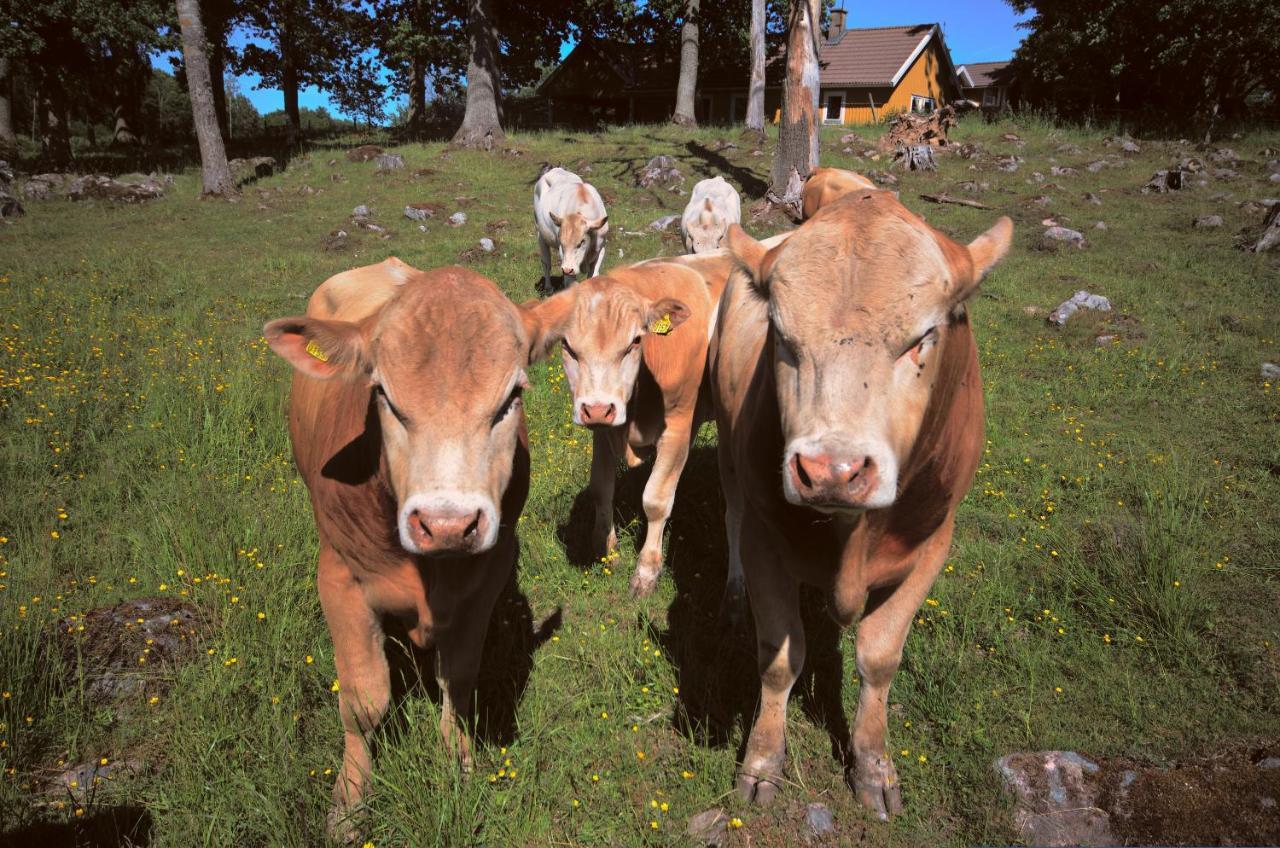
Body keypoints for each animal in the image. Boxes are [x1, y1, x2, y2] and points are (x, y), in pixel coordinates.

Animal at [262, 263, 558, 845]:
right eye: (383, 395)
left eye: (511, 397)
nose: (447, 524)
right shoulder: (339, 578)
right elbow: (363, 701)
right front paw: (350, 803)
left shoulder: (488, 575)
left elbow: (459, 678)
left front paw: (457, 767)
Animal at [711, 190, 1008, 819]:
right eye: (781, 336)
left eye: (923, 337)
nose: (832, 471)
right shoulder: (766, 540)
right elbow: (778, 657)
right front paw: (762, 761)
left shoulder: (933, 542)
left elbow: (880, 657)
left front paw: (873, 766)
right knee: (730, 516)